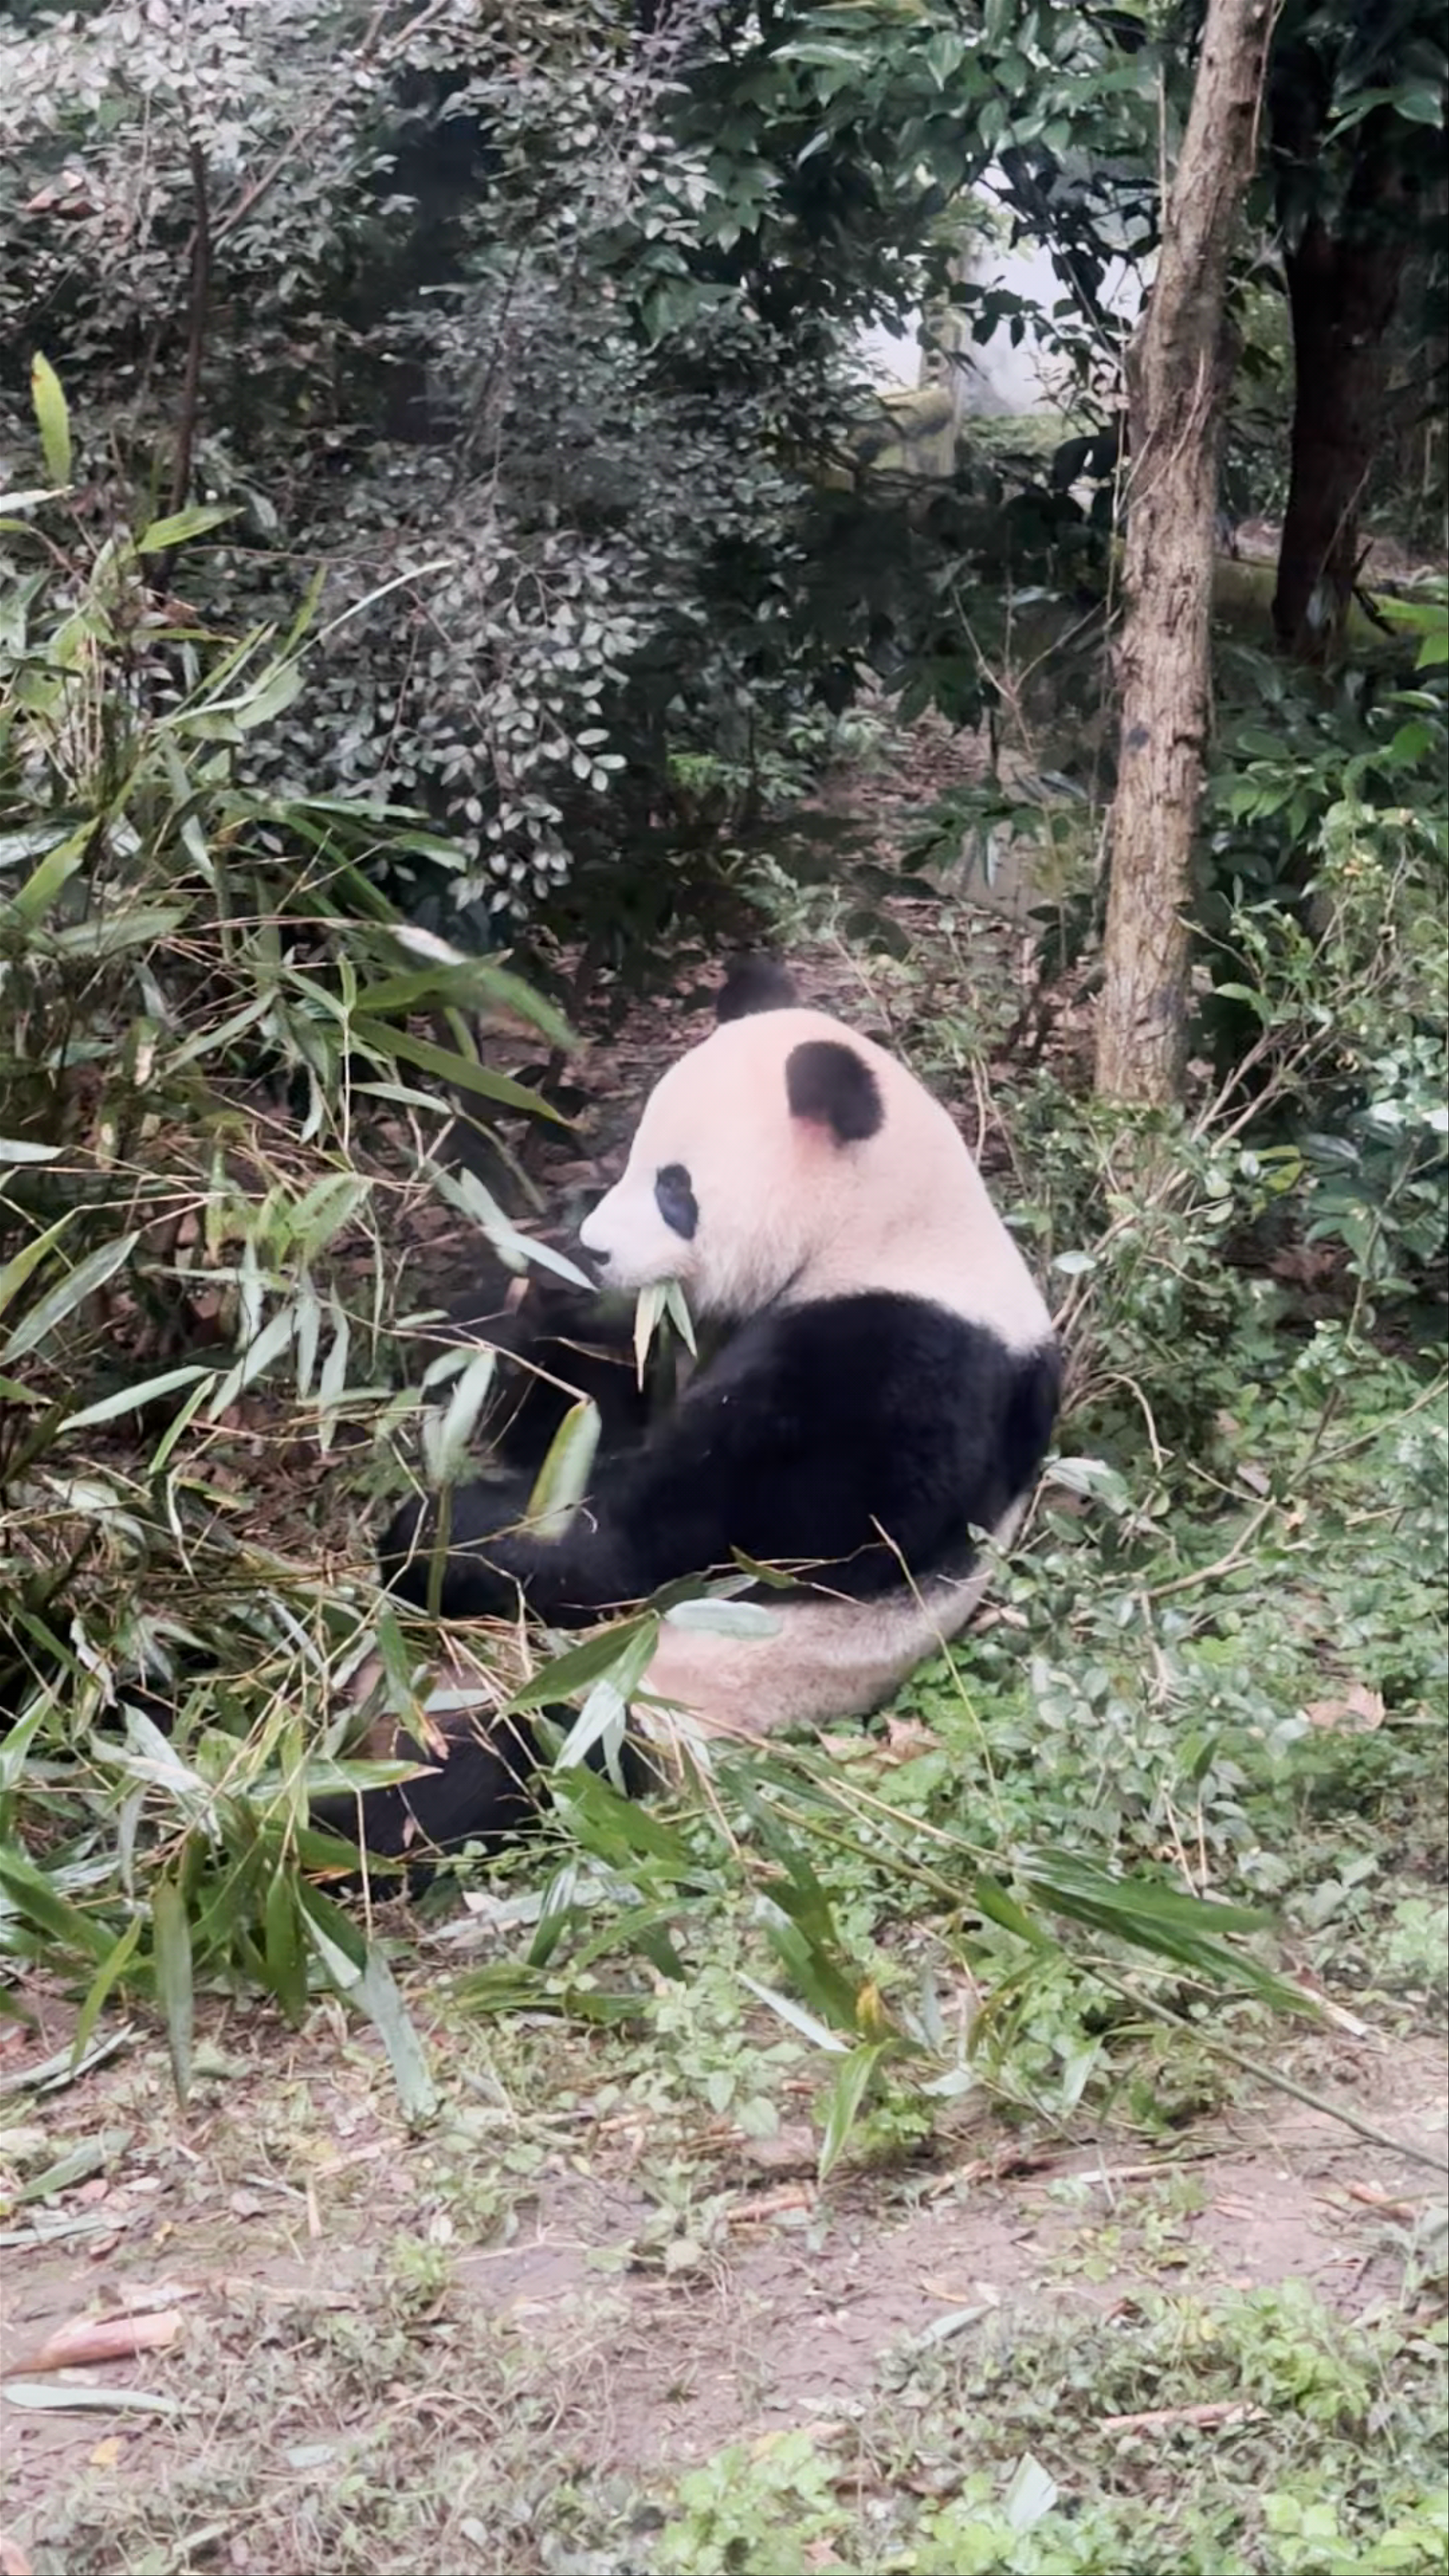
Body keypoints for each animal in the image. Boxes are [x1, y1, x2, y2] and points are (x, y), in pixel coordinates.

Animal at [330, 956, 1060, 1867]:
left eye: (674, 1188)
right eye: (633, 1159)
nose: (598, 1247)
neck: (887, 1231)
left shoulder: (906, 1361)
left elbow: (685, 1531)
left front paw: (428, 1534)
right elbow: (580, 1423)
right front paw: (543, 1291)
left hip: (631, 1705)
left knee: (483, 1773)